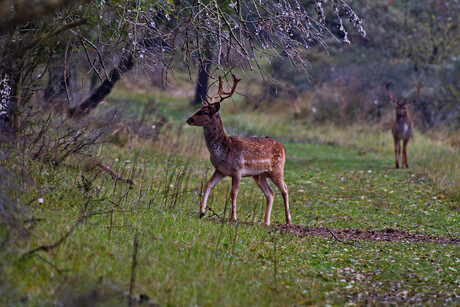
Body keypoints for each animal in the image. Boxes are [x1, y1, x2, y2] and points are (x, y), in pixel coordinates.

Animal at [186, 74, 292, 226]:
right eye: (199, 108)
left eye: (204, 112)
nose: (189, 119)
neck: (221, 151)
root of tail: (282, 146)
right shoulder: (220, 170)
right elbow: (208, 184)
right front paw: (202, 212)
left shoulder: (237, 170)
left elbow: (233, 192)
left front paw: (233, 217)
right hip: (259, 175)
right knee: (270, 193)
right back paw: (266, 222)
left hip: (277, 169)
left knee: (284, 188)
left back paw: (288, 221)